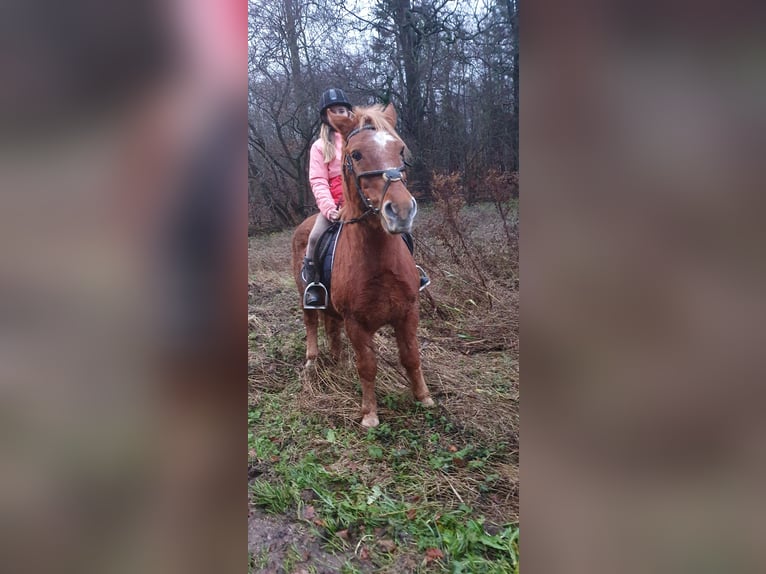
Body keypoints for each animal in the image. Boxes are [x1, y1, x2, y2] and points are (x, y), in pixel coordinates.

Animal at [292, 104, 436, 428]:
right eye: (355, 154)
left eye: (400, 149)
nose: (401, 211)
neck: (378, 259)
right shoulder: (357, 323)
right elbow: (367, 366)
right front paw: (369, 414)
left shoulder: (408, 312)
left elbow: (412, 357)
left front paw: (423, 397)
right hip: (305, 297)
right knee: (311, 323)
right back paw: (312, 362)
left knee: (331, 328)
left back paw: (338, 360)